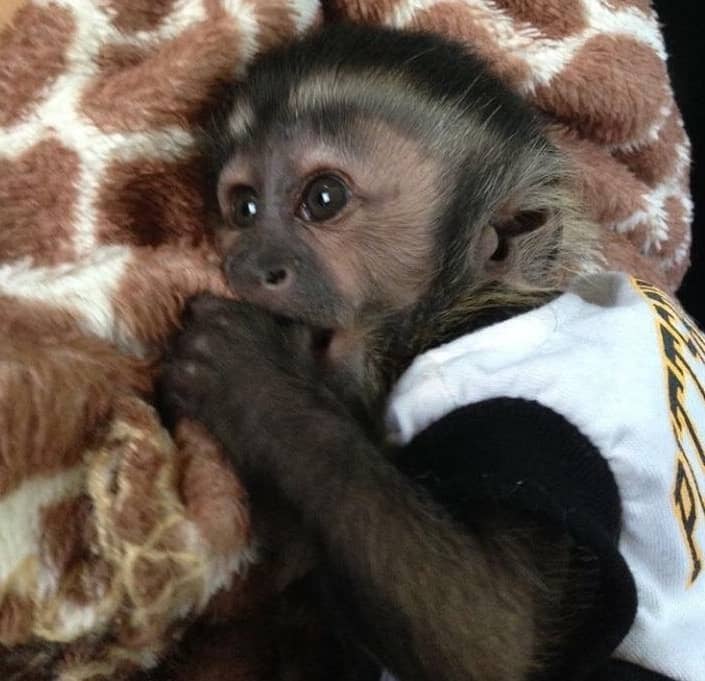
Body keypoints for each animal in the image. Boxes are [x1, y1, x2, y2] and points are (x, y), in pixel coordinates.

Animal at [158, 24, 705, 681]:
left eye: (323, 198)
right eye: (244, 208)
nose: (248, 265)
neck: (463, 309)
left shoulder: (519, 401)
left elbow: (490, 638)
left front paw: (252, 380)